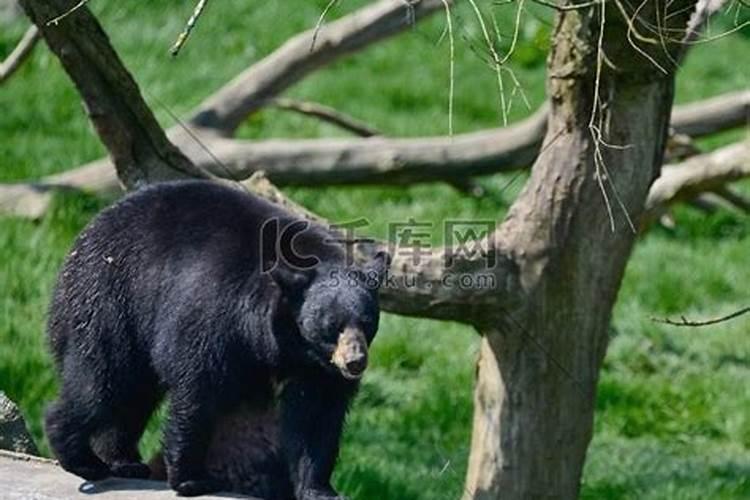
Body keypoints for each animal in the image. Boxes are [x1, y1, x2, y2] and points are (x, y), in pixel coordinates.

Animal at [44, 178, 390, 498]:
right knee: (104, 380)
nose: (355, 362)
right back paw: (82, 457)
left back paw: (124, 460)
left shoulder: (317, 367)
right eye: (331, 326)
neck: (286, 340)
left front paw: (319, 489)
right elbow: (198, 389)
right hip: (111, 303)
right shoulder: (216, 312)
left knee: (133, 397)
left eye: (367, 322)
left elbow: (317, 415)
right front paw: (190, 479)